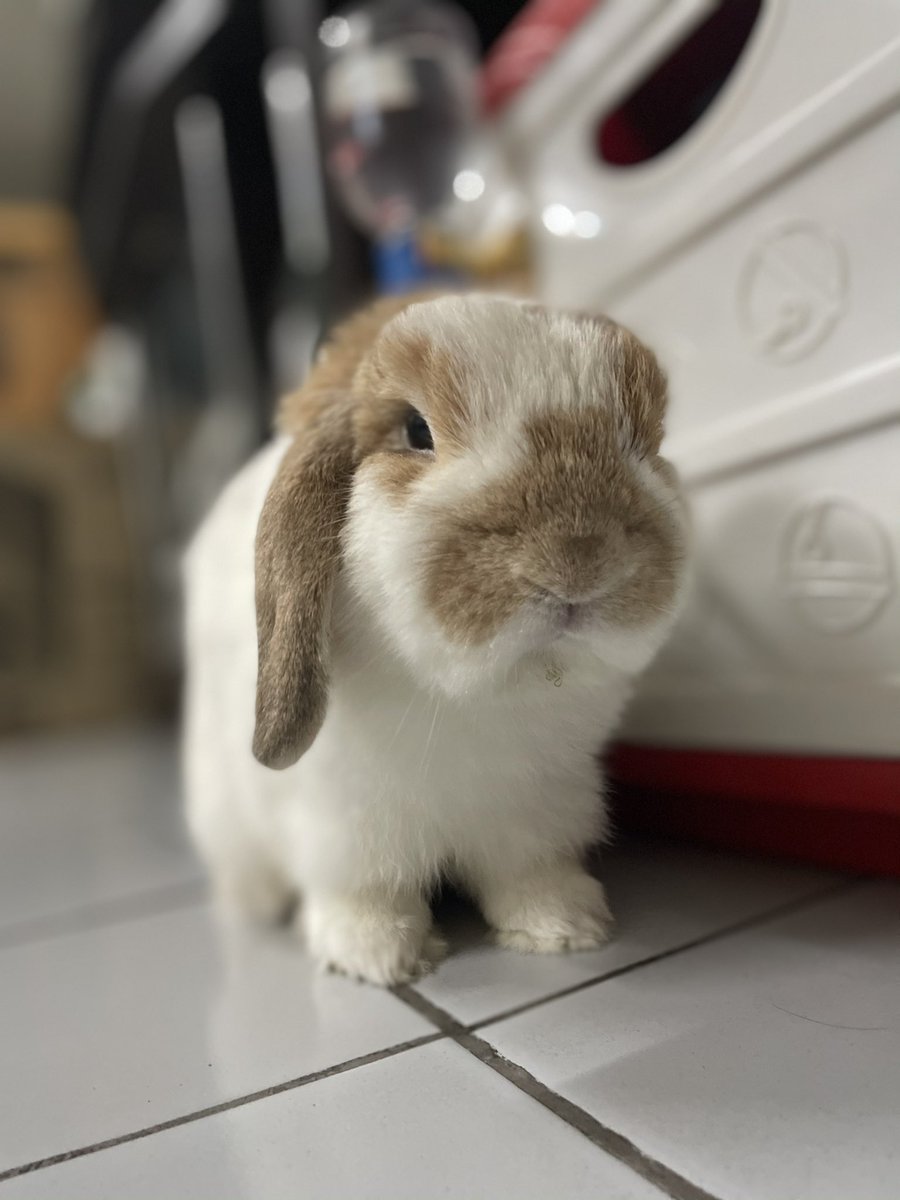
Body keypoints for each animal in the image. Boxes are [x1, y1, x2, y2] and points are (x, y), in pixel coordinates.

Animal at [183, 291, 688, 986]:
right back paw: (256, 906)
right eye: (416, 432)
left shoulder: (534, 807)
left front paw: (564, 929)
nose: (580, 557)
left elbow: (529, 872)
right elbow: (364, 890)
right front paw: (379, 958)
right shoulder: (346, 822)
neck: (471, 700)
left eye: (647, 441)